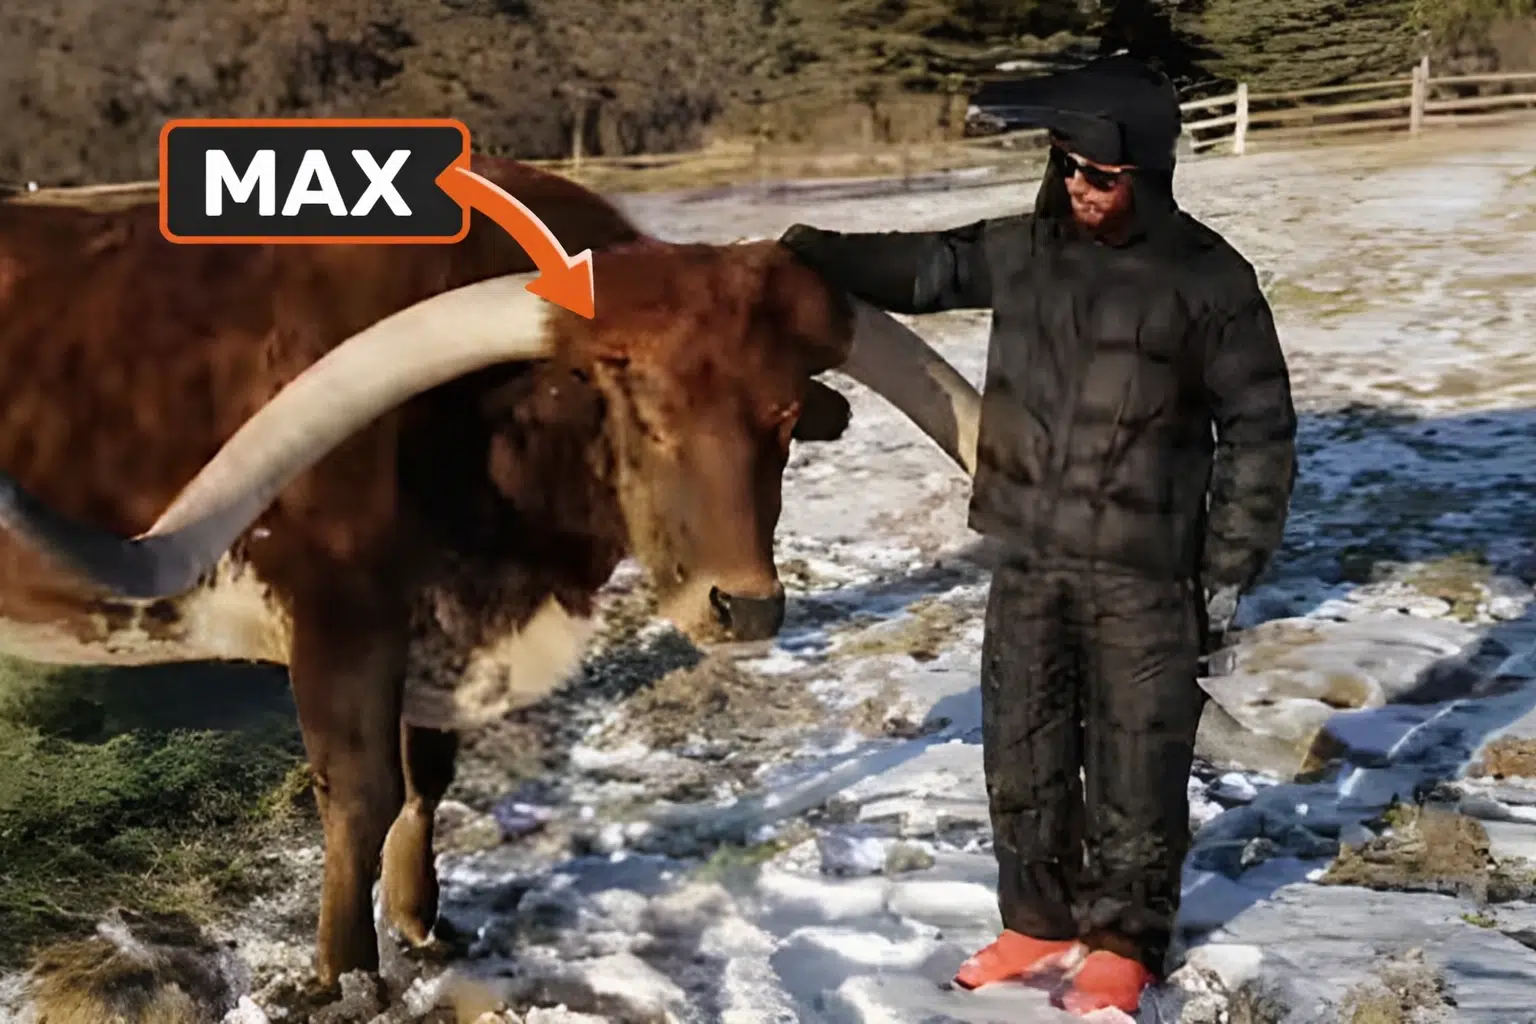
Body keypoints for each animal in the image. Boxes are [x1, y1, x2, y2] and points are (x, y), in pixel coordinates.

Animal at [0, 154, 981, 988]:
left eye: (782, 418)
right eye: (643, 407)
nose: (744, 608)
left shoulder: (436, 631)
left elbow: (427, 779)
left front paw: (422, 920)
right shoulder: (337, 619)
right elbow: (360, 795)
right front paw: (347, 975)